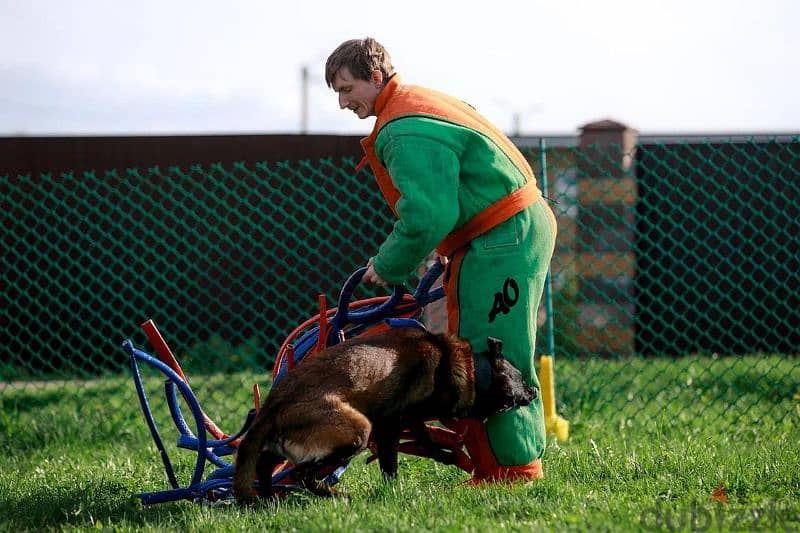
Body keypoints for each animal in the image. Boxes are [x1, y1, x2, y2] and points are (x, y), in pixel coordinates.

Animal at [231, 324, 536, 502]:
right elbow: (391, 464)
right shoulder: (389, 423)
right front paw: (394, 493)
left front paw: (446, 455)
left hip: (281, 446)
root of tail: (272, 406)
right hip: (357, 430)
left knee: (265, 465)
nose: (534, 391)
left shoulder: (409, 417)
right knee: (302, 473)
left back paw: (269, 500)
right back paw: (336, 494)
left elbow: (425, 440)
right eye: (520, 378)